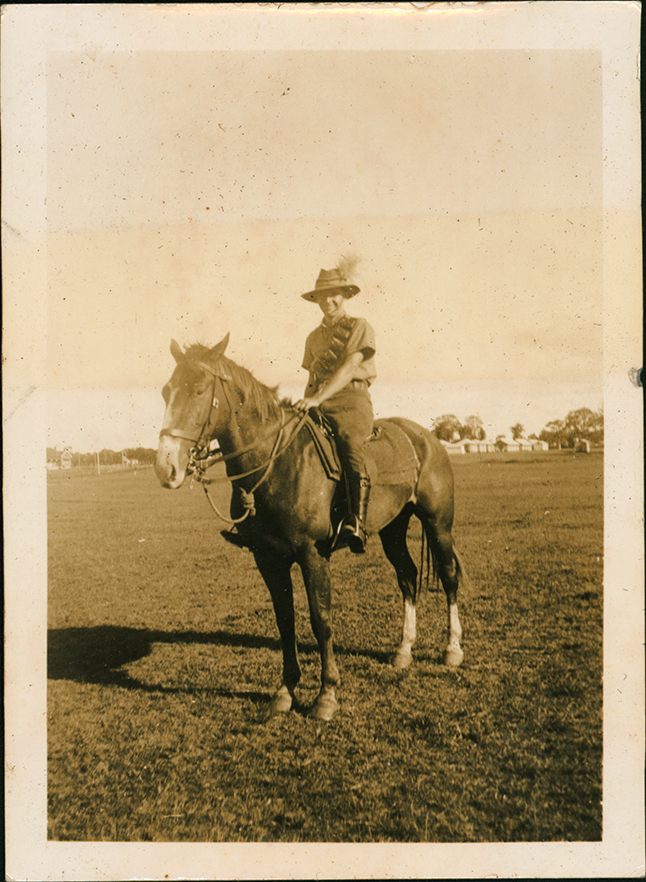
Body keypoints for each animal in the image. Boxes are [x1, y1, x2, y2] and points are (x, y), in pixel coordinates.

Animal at [155, 334, 468, 721]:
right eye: (166, 391)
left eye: (199, 389)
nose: (165, 467)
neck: (275, 466)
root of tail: (428, 436)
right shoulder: (268, 559)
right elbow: (285, 622)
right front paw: (285, 692)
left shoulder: (312, 555)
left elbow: (321, 620)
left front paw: (326, 695)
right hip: (393, 528)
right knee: (407, 576)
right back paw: (404, 651)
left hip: (438, 522)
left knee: (448, 575)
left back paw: (452, 649)